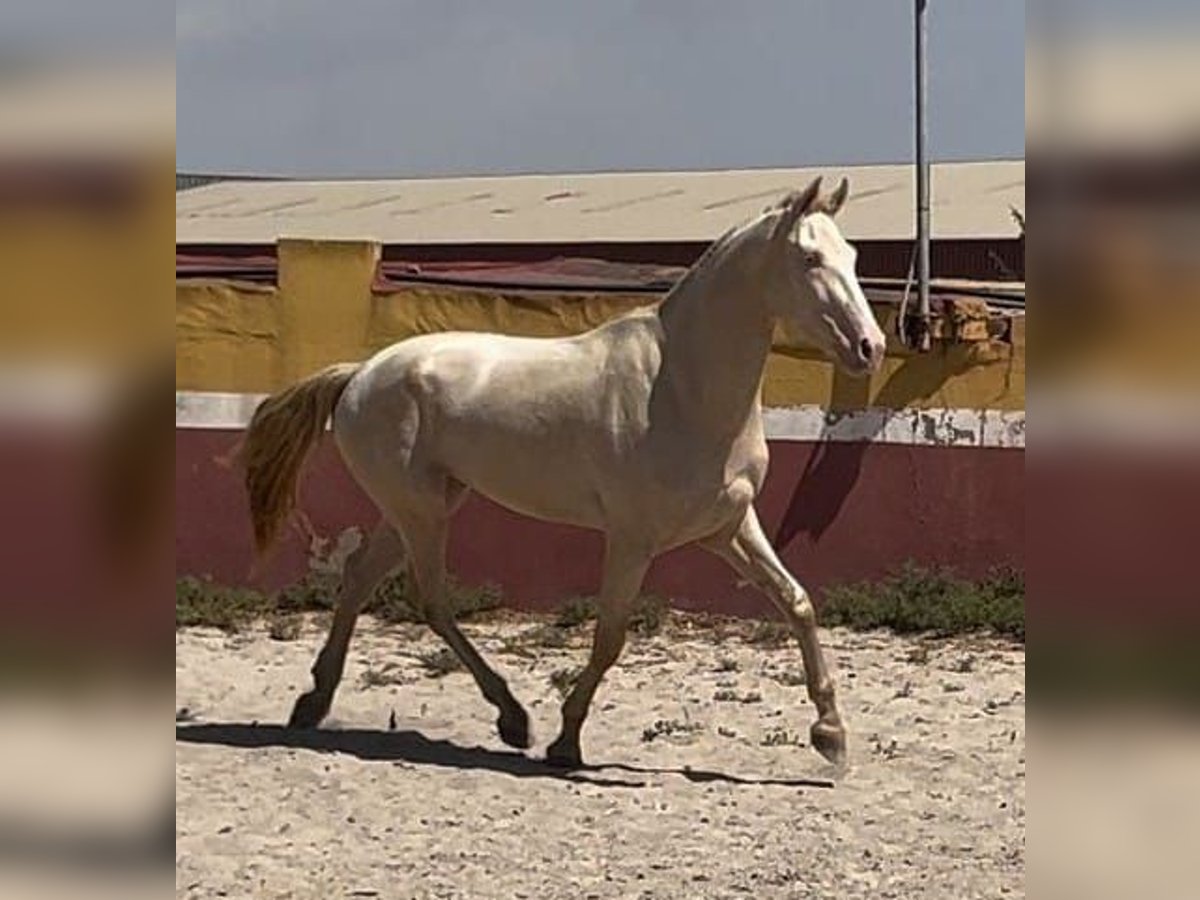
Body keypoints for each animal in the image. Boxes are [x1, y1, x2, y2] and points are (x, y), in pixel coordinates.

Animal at [238, 177, 888, 768]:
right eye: (810, 258)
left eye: (855, 258)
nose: (870, 347)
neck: (681, 388)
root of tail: (360, 373)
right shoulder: (631, 539)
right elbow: (610, 637)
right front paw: (566, 740)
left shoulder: (727, 527)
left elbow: (797, 602)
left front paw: (831, 735)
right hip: (420, 512)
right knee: (431, 601)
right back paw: (512, 718)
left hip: (417, 508)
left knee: (358, 580)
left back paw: (315, 702)